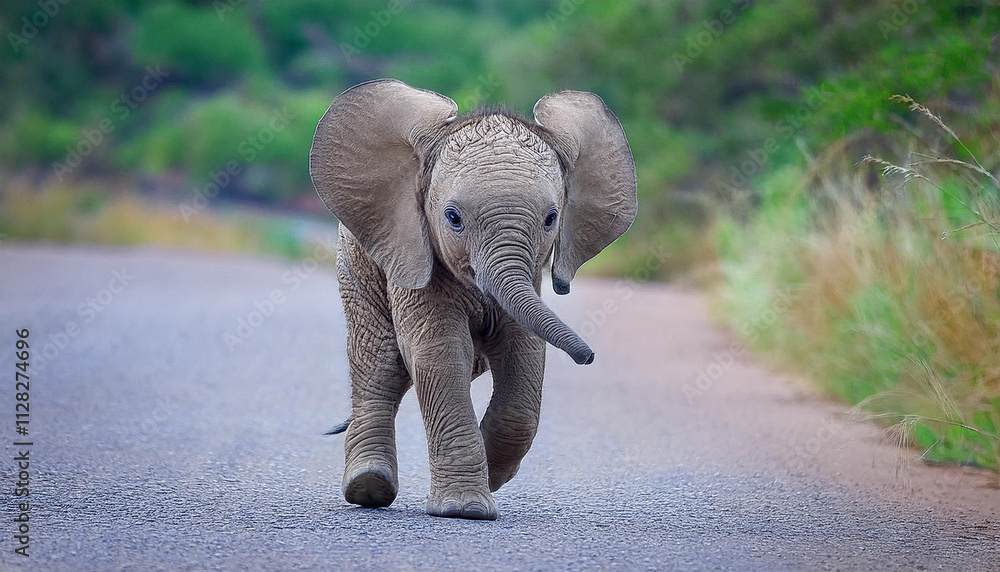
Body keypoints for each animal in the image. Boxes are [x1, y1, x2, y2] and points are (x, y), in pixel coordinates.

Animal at [309, 79, 637, 520]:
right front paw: (464, 510)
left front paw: (493, 478)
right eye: (453, 218)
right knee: (381, 364)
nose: (588, 356)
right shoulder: (414, 255)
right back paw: (369, 488)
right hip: (358, 264)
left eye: (551, 218)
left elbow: (526, 355)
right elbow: (440, 354)